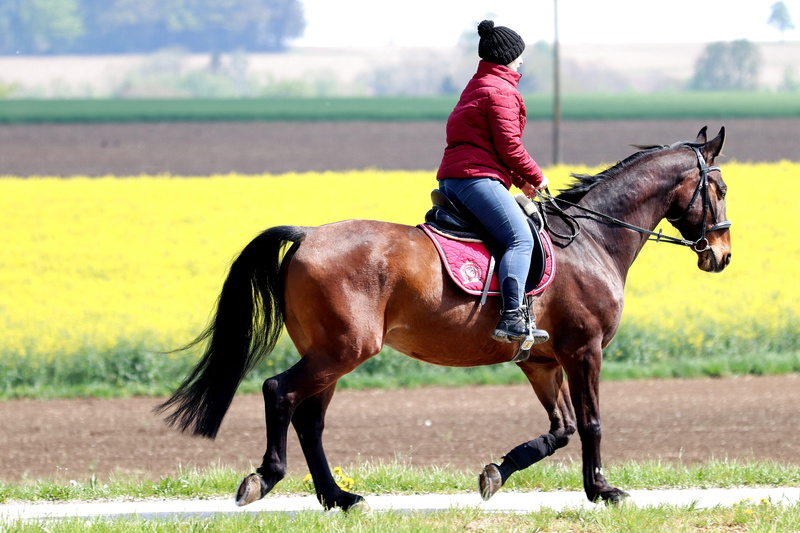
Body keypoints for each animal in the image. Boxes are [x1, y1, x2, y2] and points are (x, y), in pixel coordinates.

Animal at [156, 126, 731, 511]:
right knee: (280, 392)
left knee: (309, 417)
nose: (721, 256)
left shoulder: (541, 361)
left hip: (329, 354)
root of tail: (307, 234)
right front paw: (602, 490)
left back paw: (339, 497)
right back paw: (266, 479)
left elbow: (561, 429)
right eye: (721, 190)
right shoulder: (582, 350)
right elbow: (590, 423)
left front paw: (497, 472)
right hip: (342, 351)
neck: (593, 239)